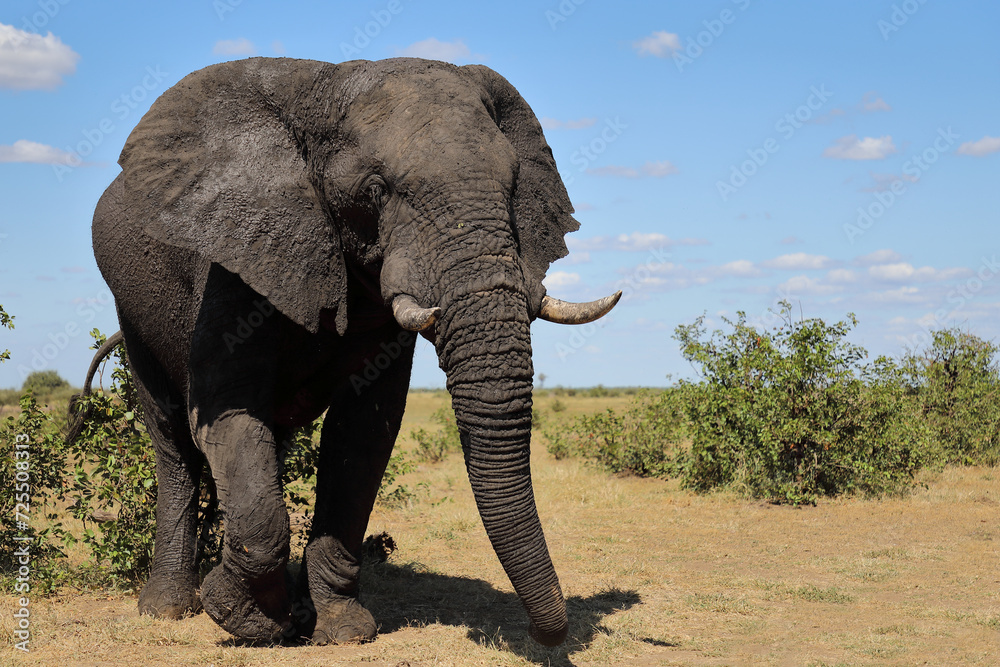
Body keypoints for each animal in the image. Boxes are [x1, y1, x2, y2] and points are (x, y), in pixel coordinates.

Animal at [71, 56, 620, 647]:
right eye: (376, 189)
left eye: (515, 183)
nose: (549, 635)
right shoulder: (231, 268)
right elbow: (225, 414)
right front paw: (247, 618)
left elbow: (362, 434)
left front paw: (341, 628)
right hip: (134, 308)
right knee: (173, 441)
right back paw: (168, 608)